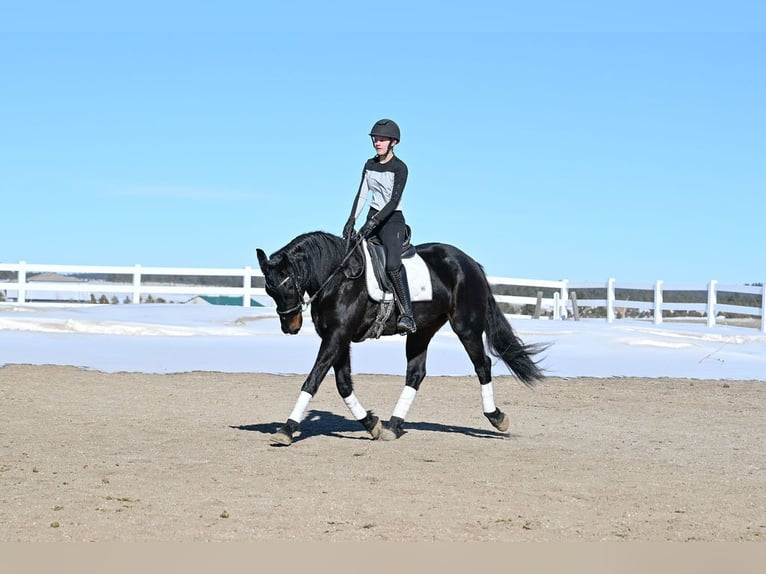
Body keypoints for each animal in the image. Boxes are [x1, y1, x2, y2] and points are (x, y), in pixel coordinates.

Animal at [256, 231, 546, 446]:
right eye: (269, 290)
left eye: (288, 284)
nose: (290, 326)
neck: (337, 277)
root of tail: (470, 262)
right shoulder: (338, 338)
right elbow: (343, 384)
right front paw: (371, 424)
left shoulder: (337, 336)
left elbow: (313, 380)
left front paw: (287, 429)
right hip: (421, 331)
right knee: (416, 373)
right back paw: (393, 426)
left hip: (466, 327)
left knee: (482, 365)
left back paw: (496, 417)